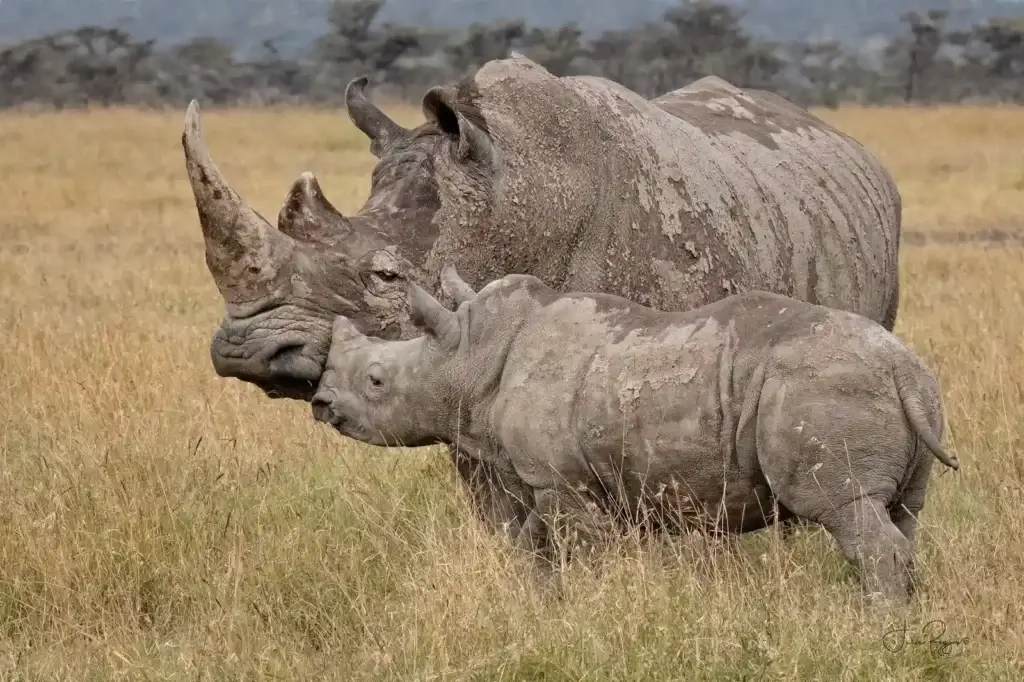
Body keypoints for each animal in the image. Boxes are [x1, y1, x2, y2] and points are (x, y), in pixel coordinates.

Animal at [311, 267, 958, 600]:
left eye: (376, 381)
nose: (321, 403)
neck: (469, 357)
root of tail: (902, 368)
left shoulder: (561, 482)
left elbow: (582, 549)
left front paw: (594, 604)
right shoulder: (549, 479)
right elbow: (533, 545)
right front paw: (537, 600)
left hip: (819, 388)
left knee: (846, 510)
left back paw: (877, 623)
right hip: (907, 391)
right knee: (902, 512)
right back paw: (900, 612)